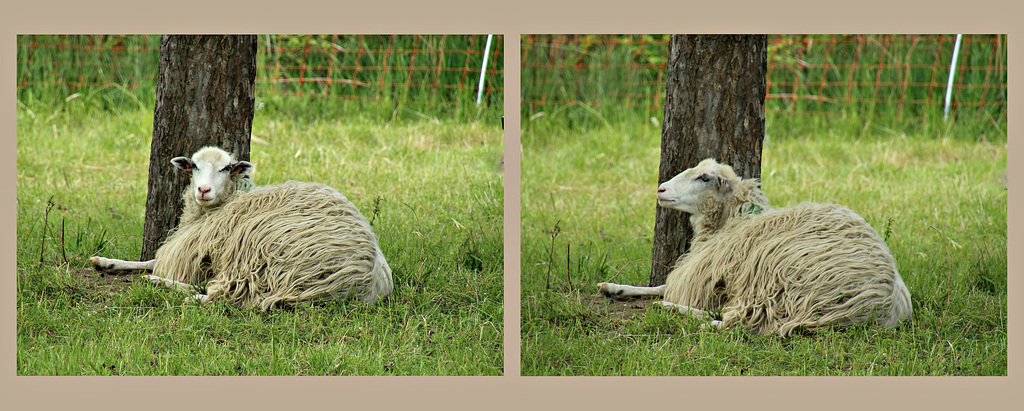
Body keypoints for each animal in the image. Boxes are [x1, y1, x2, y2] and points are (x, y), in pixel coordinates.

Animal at [89, 145, 391, 309]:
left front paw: (151, 275)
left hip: (257, 256)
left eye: (226, 168)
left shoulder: (201, 252)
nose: (203, 190)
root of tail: (363, 275)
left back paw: (165, 286)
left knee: (218, 295)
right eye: (194, 165)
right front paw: (106, 262)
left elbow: (161, 263)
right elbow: (149, 260)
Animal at [598, 158, 917, 334]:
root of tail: (882, 301)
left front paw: (661, 300)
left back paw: (678, 312)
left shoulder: (712, 276)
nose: (661, 189)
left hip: (775, 280)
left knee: (738, 322)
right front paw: (616, 288)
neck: (734, 220)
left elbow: (673, 289)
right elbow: (660, 285)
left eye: (704, 177)